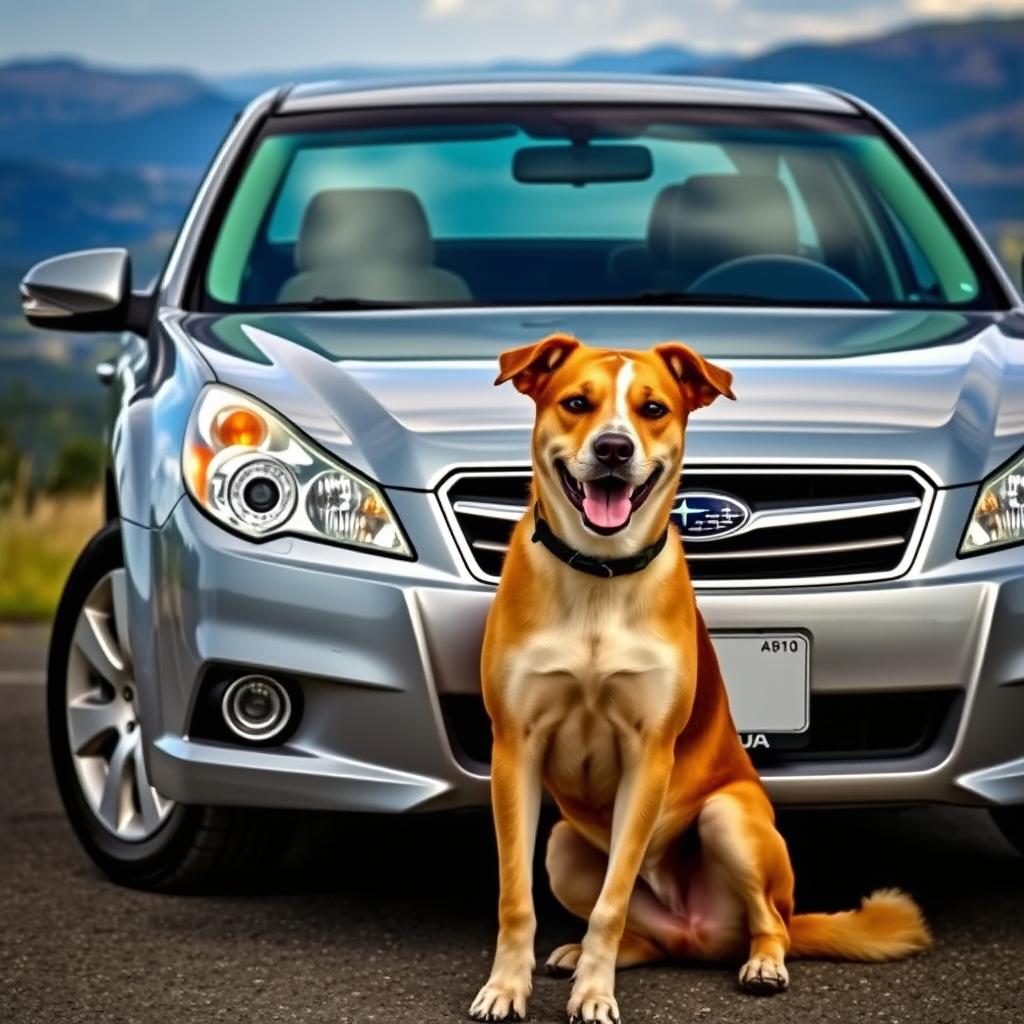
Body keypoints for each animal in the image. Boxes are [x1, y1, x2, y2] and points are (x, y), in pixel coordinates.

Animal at [468, 337, 929, 1024]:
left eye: (653, 408)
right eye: (576, 403)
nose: (613, 448)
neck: (599, 580)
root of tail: (698, 934)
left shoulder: (649, 755)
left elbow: (612, 901)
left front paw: (595, 996)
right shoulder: (514, 749)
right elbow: (516, 897)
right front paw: (506, 987)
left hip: (729, 819)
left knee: (771, 922)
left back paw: (761, 962)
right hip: (563, 847)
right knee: (642, 934)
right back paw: (580, 956)